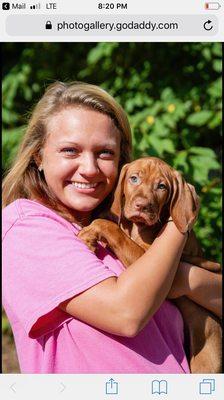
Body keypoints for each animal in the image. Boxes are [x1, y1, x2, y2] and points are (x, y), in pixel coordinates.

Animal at [78, 157, 221, 376]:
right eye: (134, 178)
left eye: (162, 186)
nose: (142, 206)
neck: (137, 228)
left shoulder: (145, 257)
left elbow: (108, 226)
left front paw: (90, 232)